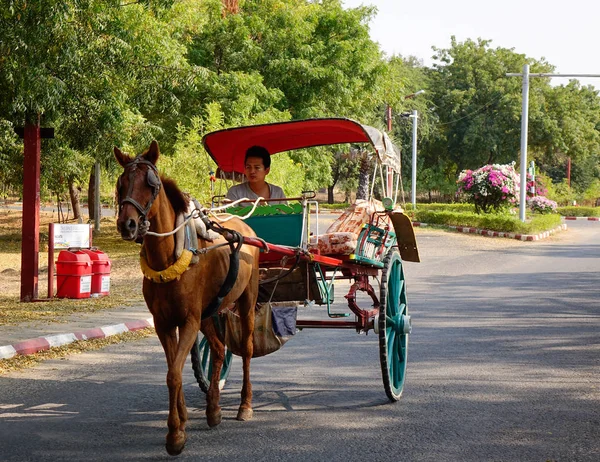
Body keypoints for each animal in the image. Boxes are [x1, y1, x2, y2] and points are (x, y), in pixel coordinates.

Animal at [115, 140, 260, 454]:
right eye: (121, 183)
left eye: (151, 184)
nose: (127, 225)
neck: (169, 256)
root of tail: (244, 227)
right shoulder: (164, 323)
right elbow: (174, 371)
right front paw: (180, 421)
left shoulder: (189, 321)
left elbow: (173, 375)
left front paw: (175, 435)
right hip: (210, 311)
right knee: (218, 349)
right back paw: (213, 408)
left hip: (246, 300)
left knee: (246, 349)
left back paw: (245, 405)